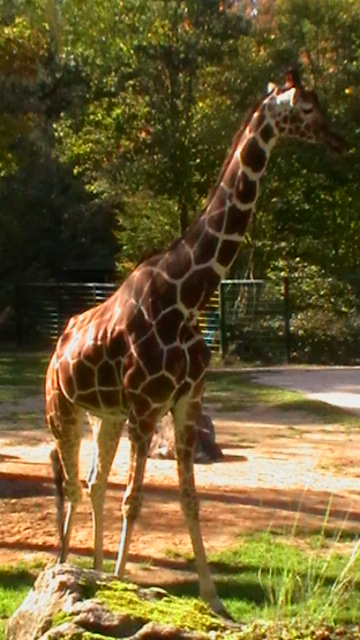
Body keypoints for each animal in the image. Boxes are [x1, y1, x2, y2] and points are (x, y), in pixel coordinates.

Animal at [46, 69, 348, 616]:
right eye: (307, 108)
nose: (339, 141)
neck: (187, 298)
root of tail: (58, 348)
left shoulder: (186, 402)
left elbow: (188, 501)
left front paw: (213, 598)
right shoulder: (147, 407)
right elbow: (135, 500)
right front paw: (123, 587)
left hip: (105, 416)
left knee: (93, 484)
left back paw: (91, 572)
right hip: (63, 409)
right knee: (73, 486)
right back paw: (66, 568)